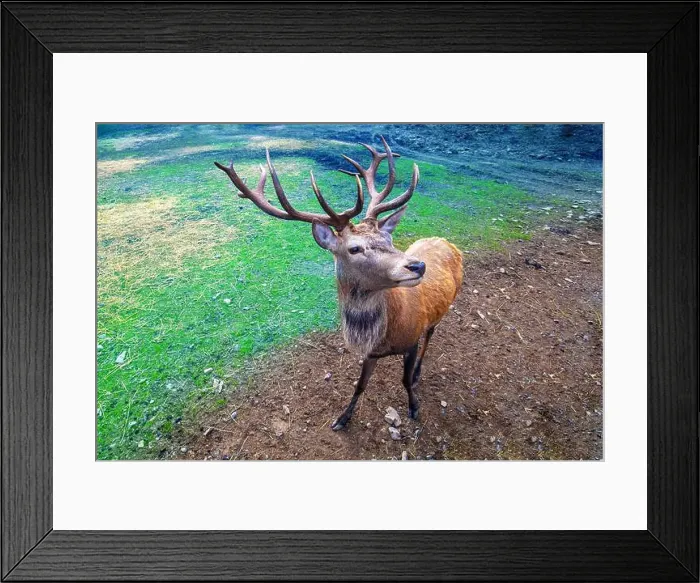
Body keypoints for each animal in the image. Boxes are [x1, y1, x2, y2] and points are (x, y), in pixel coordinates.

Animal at [215, 137, 463, 431]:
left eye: (389, 240)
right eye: (354, 249)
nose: (418, 266)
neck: (386, 334)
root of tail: (446, 241)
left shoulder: (412, 338)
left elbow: (403, 379)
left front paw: (414, 407)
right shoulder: (369, 353)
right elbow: (359, 386)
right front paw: (342, 419)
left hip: (441, 311)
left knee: (431, 334)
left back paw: (418, 372)